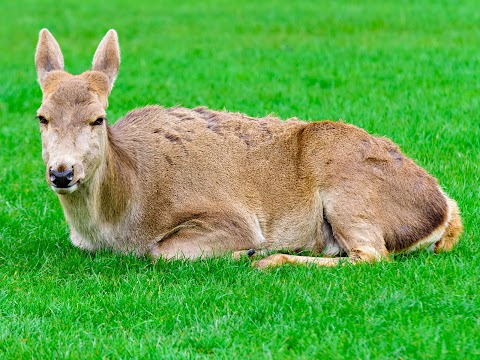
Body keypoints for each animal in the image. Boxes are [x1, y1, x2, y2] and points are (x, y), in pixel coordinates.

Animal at [32, 29, 462, 268]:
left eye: (98, 118)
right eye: (42, 117)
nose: (62, 172)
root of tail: (445, 206)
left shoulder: (231, 216)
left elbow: (160, 251)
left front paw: (245, 253)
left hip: (349, 186)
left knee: (373, 255)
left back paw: (269, 260)